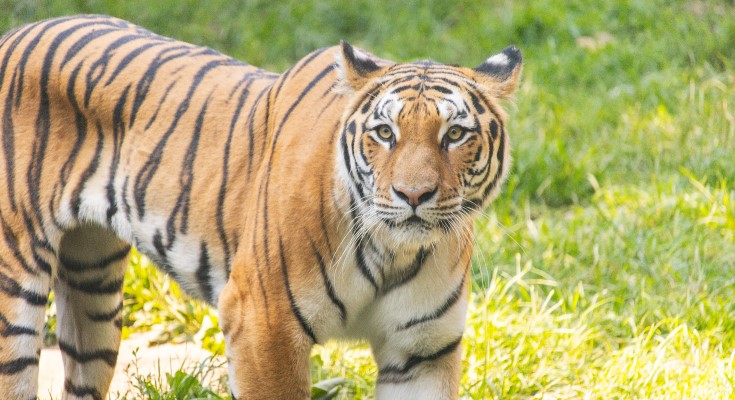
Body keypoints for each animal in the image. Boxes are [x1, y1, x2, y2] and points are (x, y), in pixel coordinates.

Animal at [0, 14, 521, 400]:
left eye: (455, 134)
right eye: (384, 133)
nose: (413, 195)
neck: (395, 253)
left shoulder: (421, 350)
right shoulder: (263, 326)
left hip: (94, 286)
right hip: (15, 287)